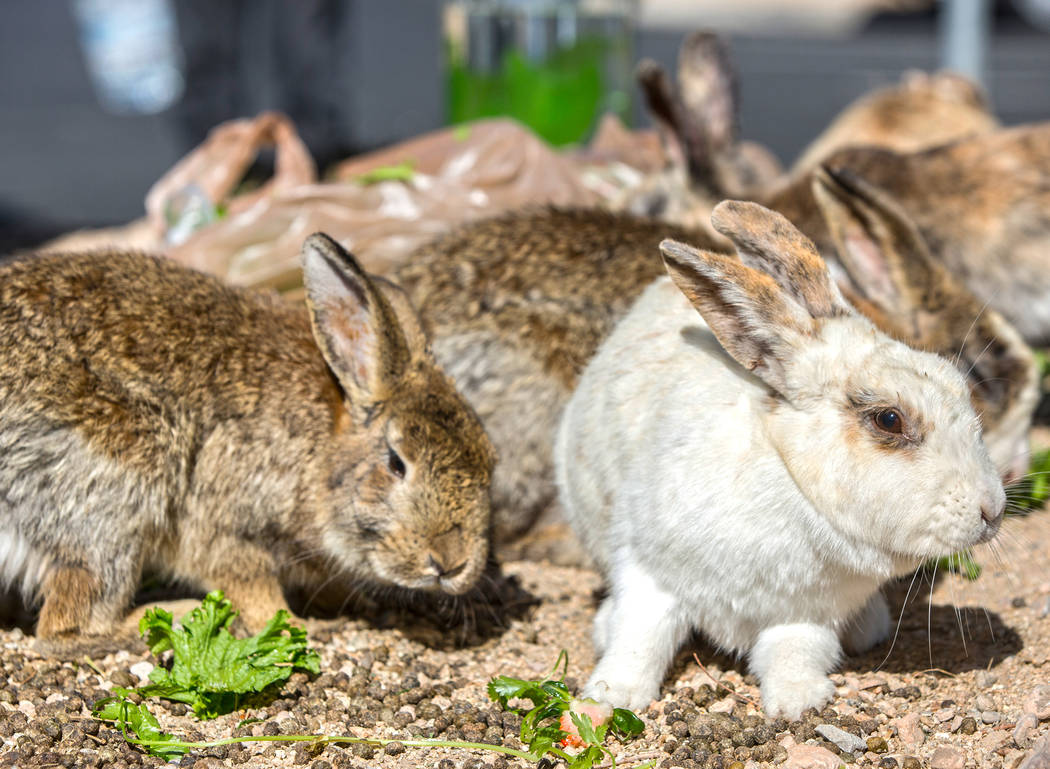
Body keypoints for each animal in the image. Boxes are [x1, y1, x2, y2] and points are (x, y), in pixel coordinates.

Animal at [0, 233, 493, 638]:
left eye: (491, 461)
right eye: (396, 462)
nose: (452, 563)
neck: (323, 442)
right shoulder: (224, 521)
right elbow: (249, 581)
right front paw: (293, 627)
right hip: (114, 498)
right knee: (68, 627)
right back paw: (174, 615)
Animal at [558, 201, 1007, 718]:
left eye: (959, 383)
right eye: (889, 420)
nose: (993, 510)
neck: (791, 478)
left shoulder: (804, 614)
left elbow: (795, 653)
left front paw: (799, 703)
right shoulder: (649, 574)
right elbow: (640, 639)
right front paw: (612, 695)